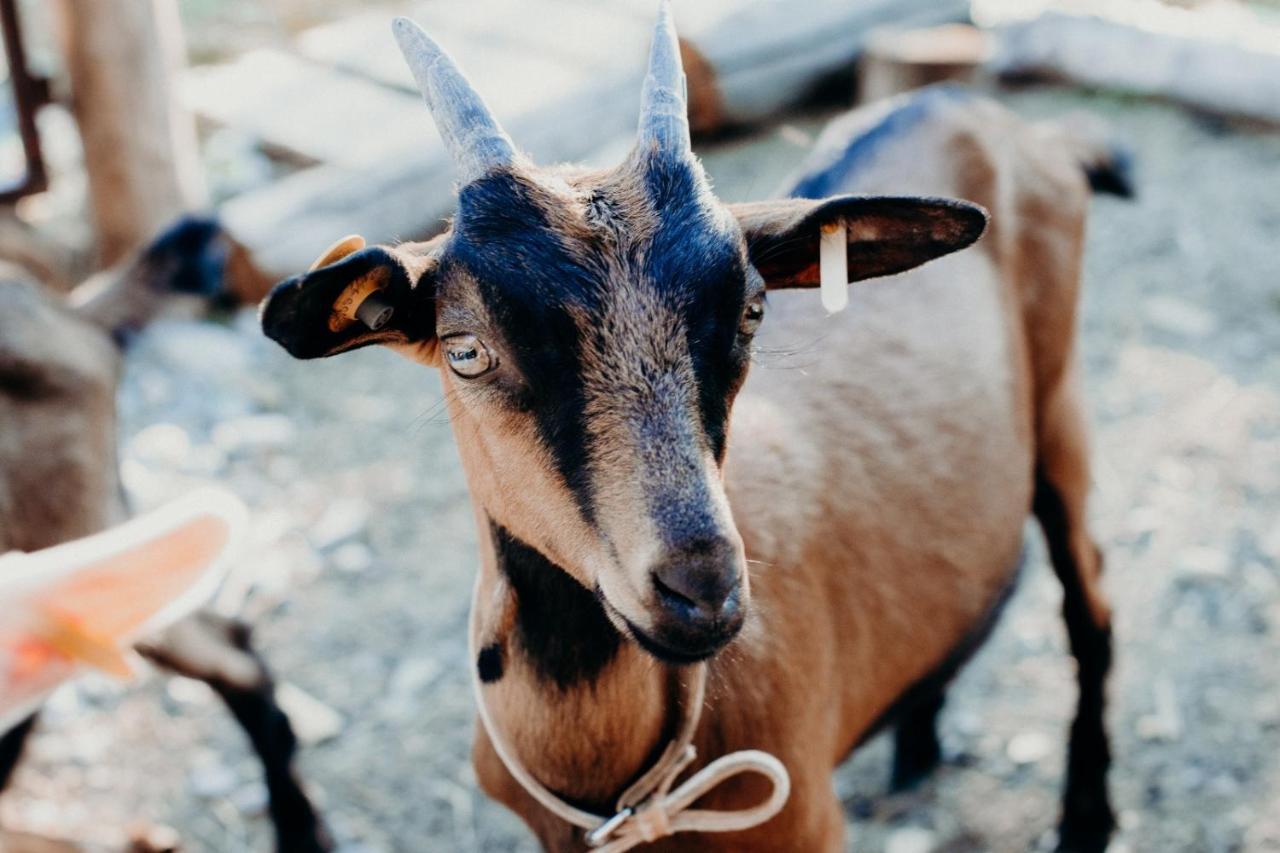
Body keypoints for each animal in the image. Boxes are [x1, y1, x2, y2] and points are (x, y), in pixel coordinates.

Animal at [264, 8, 1126, 850]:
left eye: (751, 309)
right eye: (466, 349)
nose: (701, 588)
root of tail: (983, 112)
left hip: (1063, 408)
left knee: (1090, 601)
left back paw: (1086, 818)